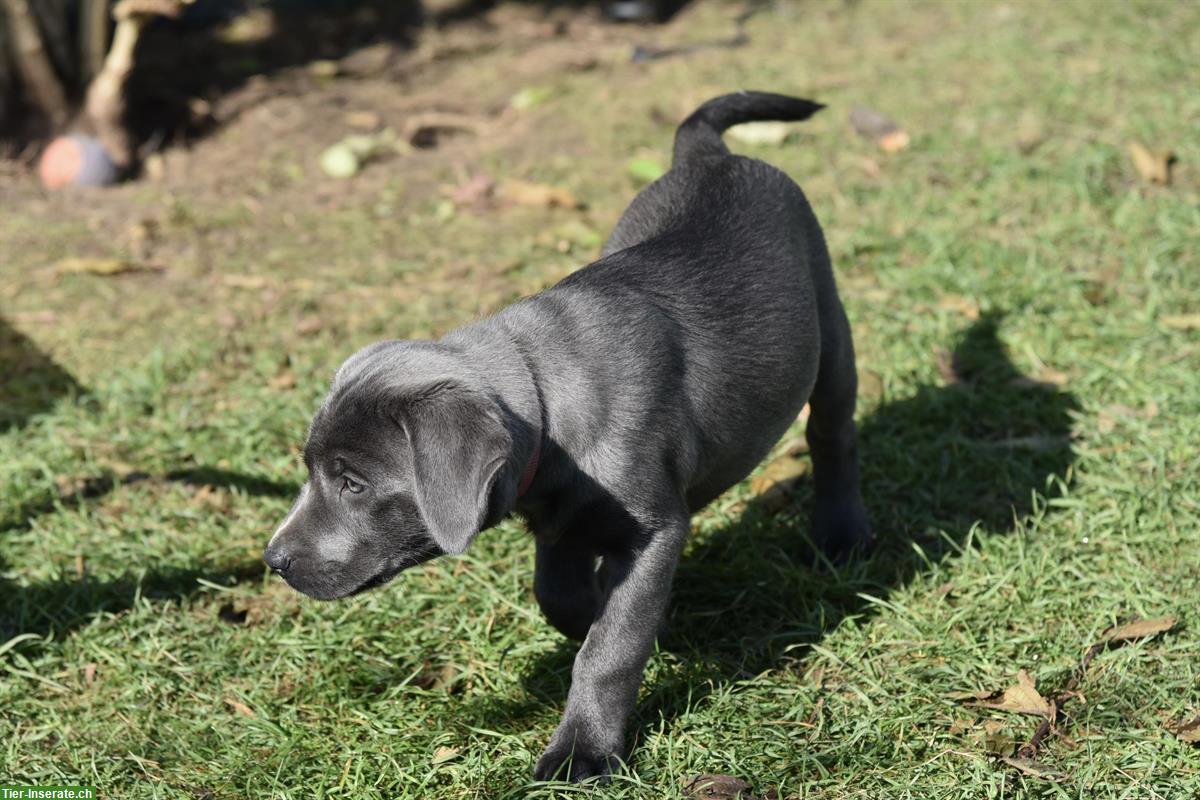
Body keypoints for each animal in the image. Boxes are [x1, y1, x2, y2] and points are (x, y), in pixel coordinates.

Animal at [265, 92, 873, 782]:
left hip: (830, 330)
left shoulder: (655, 530)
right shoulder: (560, 518)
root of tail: (709, 156)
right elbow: (558, 596)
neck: (546, 399)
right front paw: (632, 624)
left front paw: (585, 747)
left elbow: (610, 649)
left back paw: (842, 534)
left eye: (353, 482)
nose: (273, 561)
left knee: (833, 435)